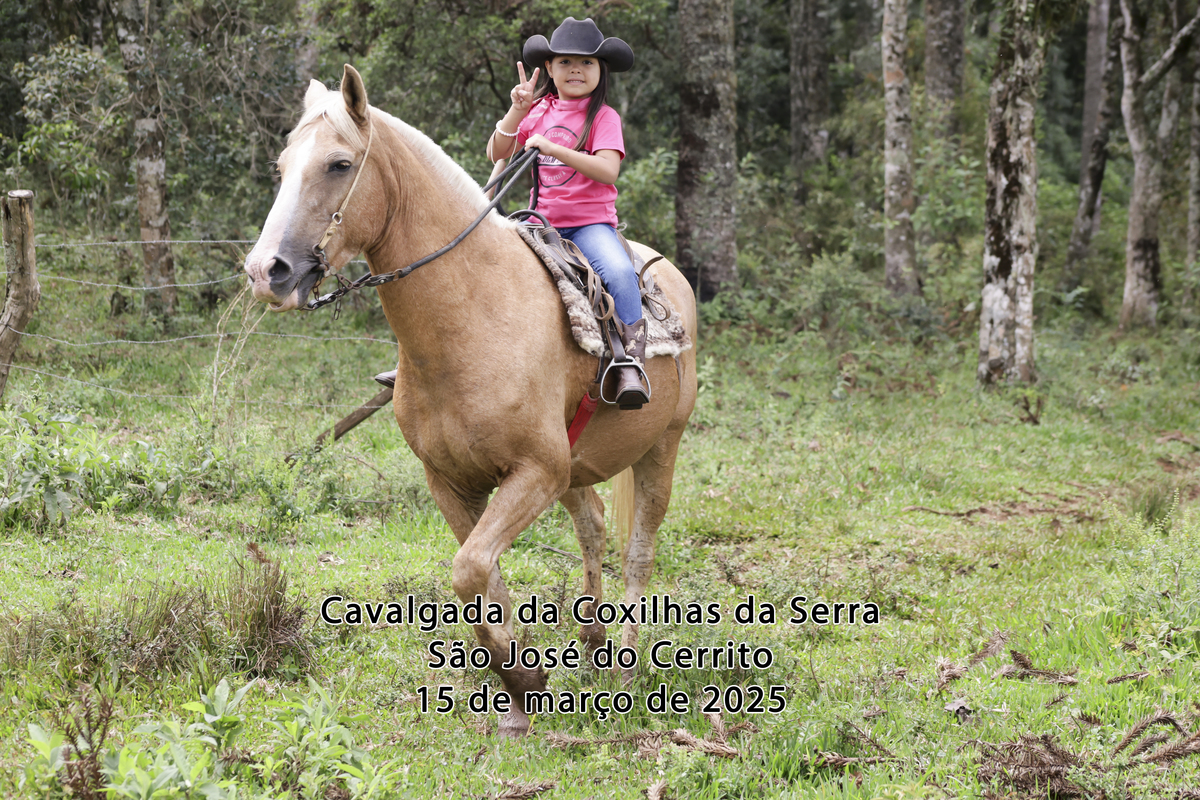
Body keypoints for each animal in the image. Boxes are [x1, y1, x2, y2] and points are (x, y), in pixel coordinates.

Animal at [243, 65, 697, 737]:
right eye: (282, 165)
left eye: (338, 164)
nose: (265, 271)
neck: (475, 313)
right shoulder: (454, 482)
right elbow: (482, 575)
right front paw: (521, 694)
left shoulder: (535, 472)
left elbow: (471, 570)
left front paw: (524, 680)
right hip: (576, 465)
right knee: (591, 527)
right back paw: (591, 644)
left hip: (661, 447)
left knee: (638, 551)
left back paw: (626, 663)